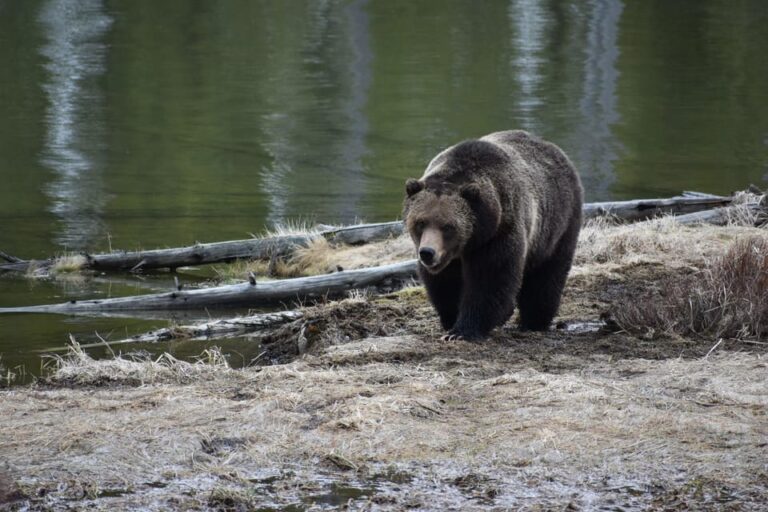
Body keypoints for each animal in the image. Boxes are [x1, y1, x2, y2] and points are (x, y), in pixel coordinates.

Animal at [404, 130, 580, 340]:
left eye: (448, 226)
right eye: (421, 222)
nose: (427, 253)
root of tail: (555, 149)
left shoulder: (498, 233)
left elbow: (489, 280)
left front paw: (462, 331)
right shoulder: (450, 257)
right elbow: (445, 283)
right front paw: (451, 320)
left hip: (558, 224)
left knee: (547, 276)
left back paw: (534, 321)